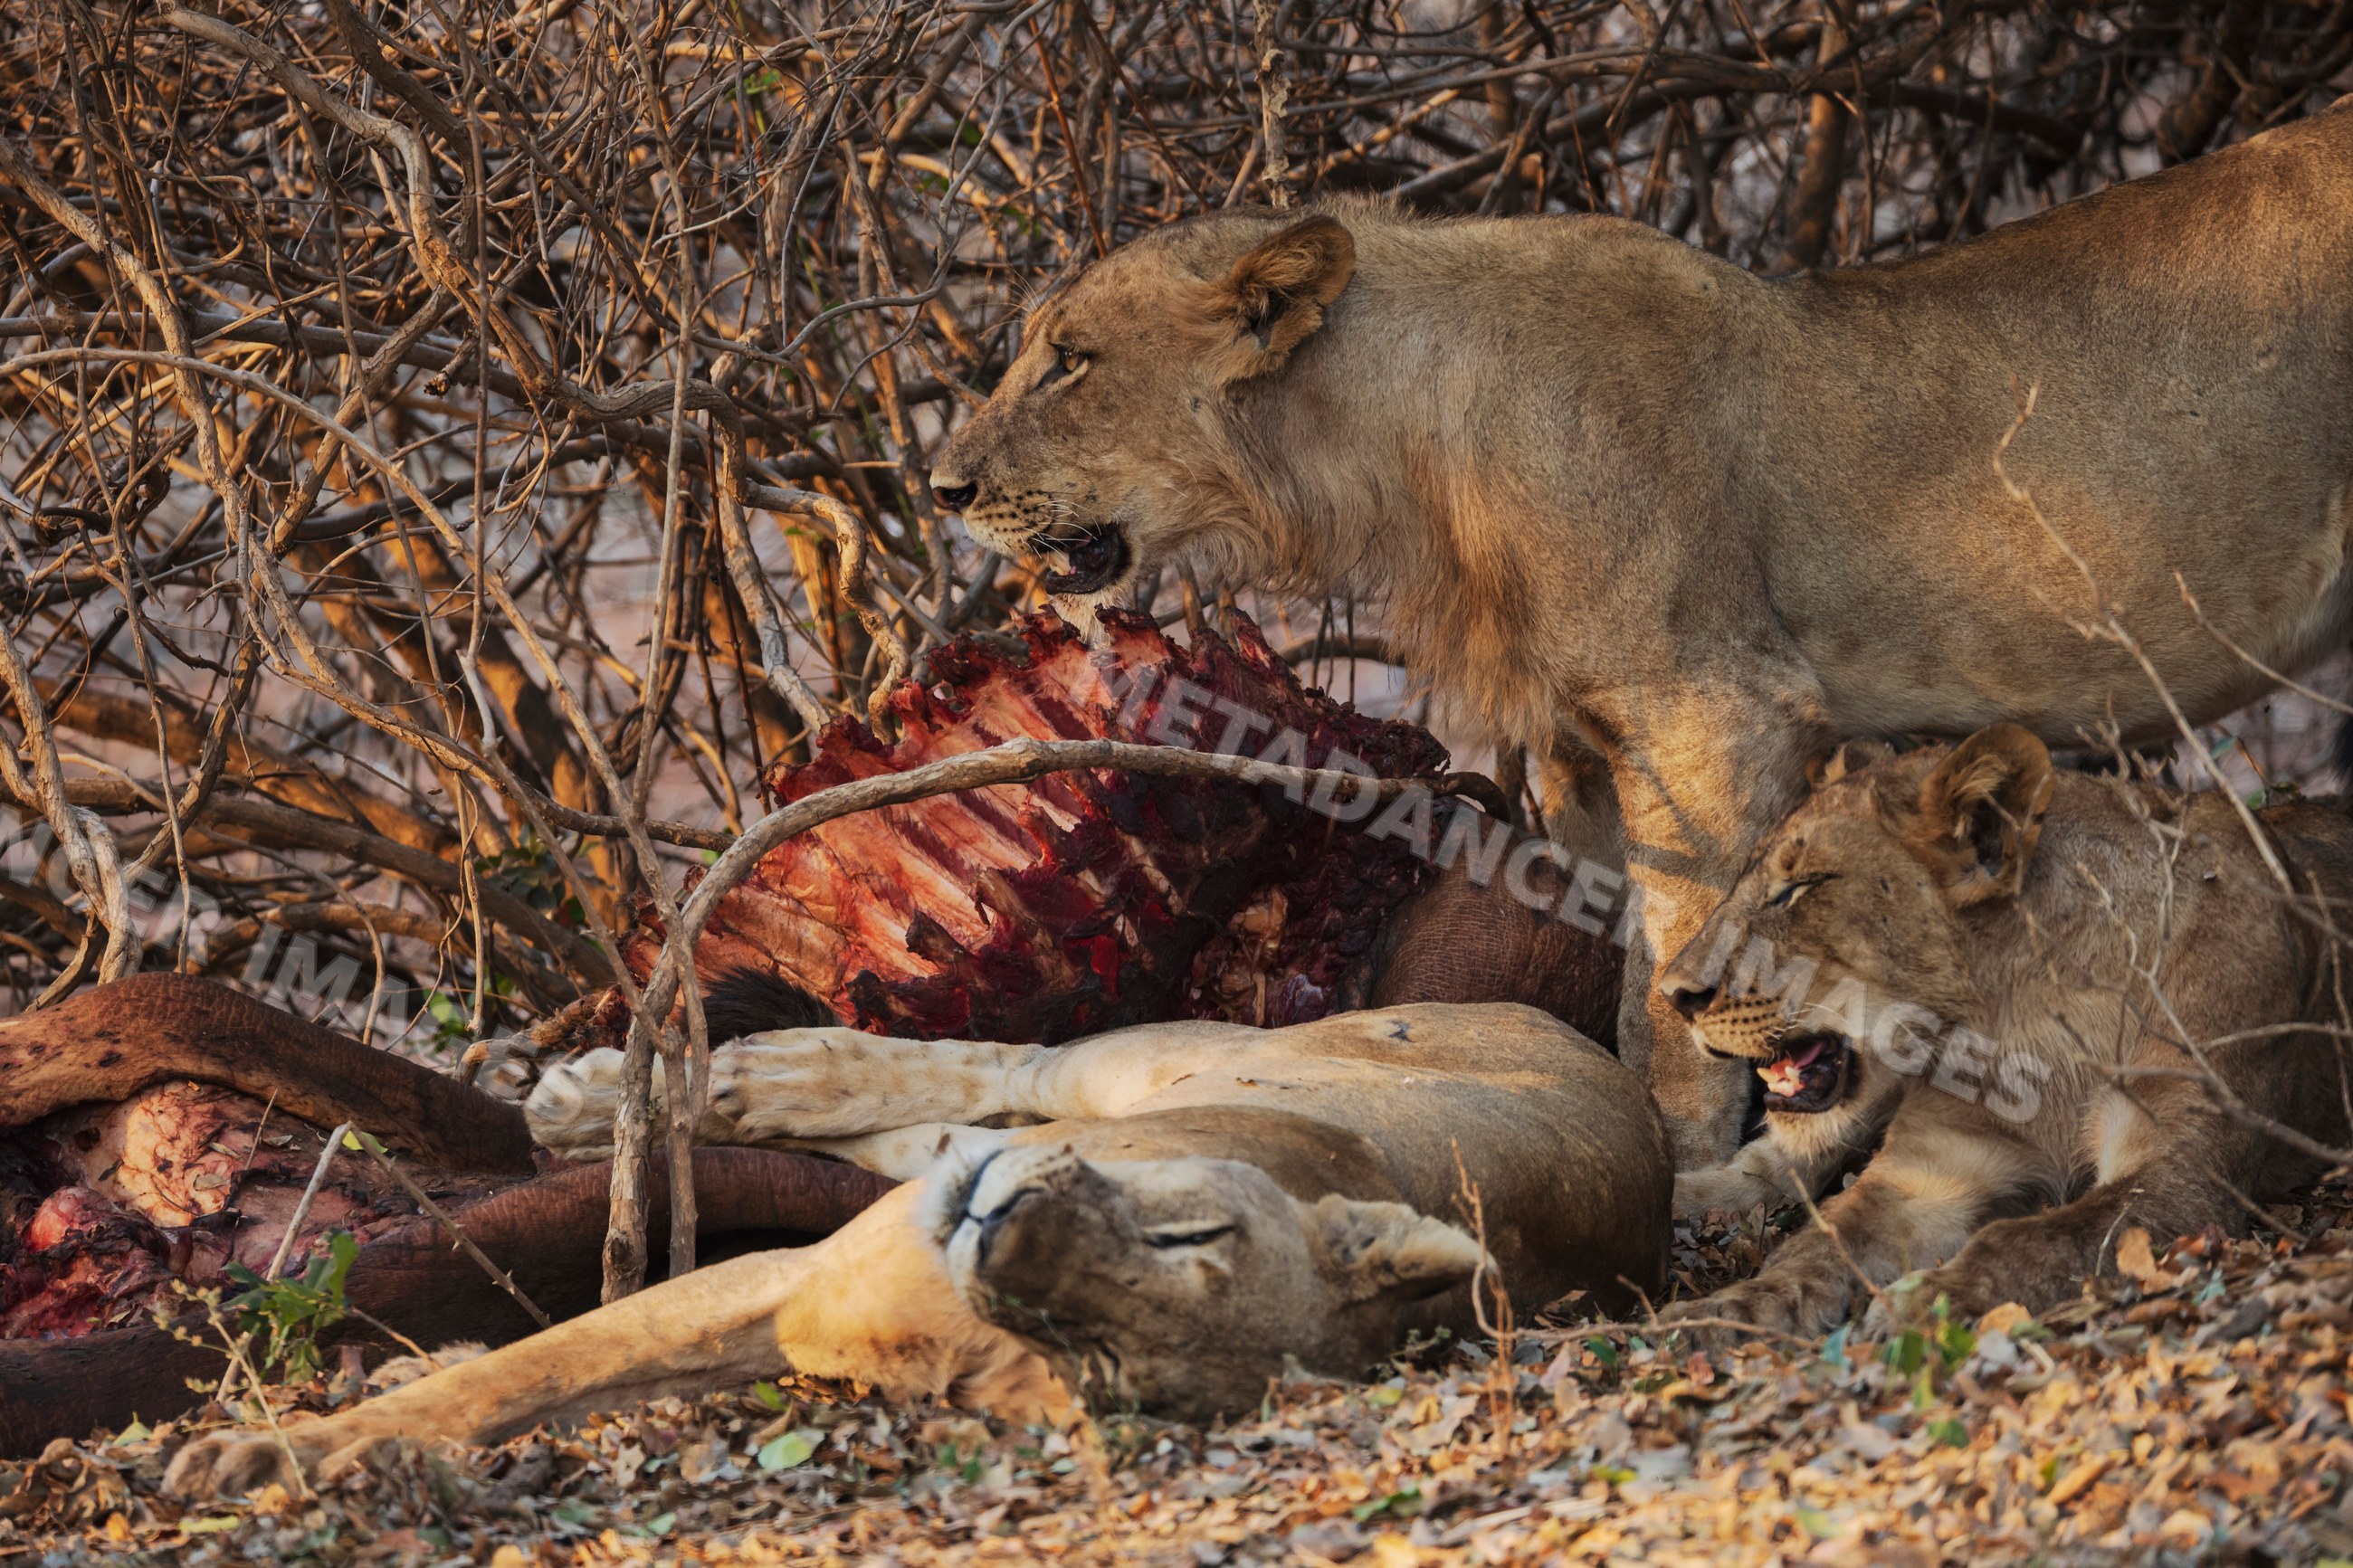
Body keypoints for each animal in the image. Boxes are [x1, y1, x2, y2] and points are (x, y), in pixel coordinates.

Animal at [165, 1003, 1667, 1499]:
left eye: (1092, 1350)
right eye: (1191, 1229)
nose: (1008, 1229)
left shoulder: (799, 1301)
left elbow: (537, 1378)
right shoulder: (778, 1274)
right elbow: (514, 1374)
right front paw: (270, 1456)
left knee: (951, 1118)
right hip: (1165, 1059)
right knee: (998, 1063)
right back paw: (629, 1095)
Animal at [924, 99, 2353, 1174]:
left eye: (1070, 359)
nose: (941, 486)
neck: (1411, 444)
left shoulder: (1713, 710)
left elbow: (1681, 977)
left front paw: (1690, 1169)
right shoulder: (1583, 754)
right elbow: (1615, 968)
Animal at [1652, 724, 2353, 1338]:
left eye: (1801, 886)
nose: (1674, 993)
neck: (2033, 1016)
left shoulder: (2183, 1172)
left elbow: (2033, 1237)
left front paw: (1926, 1304)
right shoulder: (1928, 1171)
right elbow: (1815, 1246)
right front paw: (1723, 1314)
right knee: (1775, 1165)